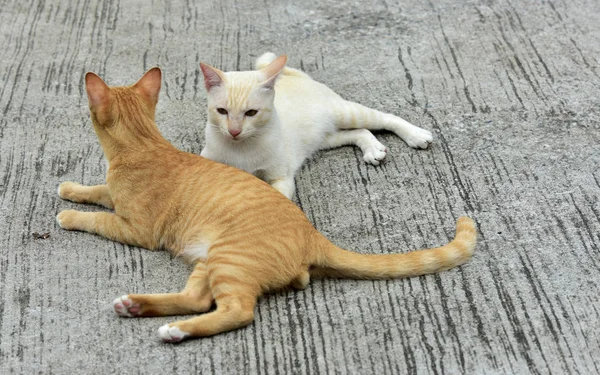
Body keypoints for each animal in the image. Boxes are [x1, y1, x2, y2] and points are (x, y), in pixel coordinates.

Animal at [200, 54, 432, 200]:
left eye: (251, 113)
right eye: (222, 111)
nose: (234, 131)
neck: (242, 148)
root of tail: (297, 76)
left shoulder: (281, 178)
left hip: (346, 113)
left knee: (387, 118)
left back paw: (416, 135)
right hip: (325, 138)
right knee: (360, 132)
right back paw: (372, 149)